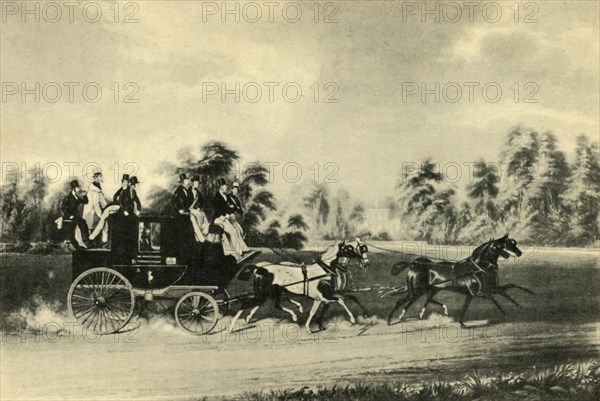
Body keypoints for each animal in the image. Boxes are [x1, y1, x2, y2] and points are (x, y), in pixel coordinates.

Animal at [230, 238, 370, 332]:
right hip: (264, 293)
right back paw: (232, 327)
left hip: (267, 293)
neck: (324, 270)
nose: (365, 263)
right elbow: (340, 301)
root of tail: (259, 268)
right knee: (247, 303)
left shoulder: (323, 297)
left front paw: (310, 327)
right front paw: (352, 319)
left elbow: (316, 310)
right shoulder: (324, 296)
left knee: (272, 304)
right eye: (349, 248)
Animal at [386, 234, 532, 324]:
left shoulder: (483, 290)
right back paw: (390, 320)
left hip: (430, 290)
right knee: (401, 301)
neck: (477, 267)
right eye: (496, 247)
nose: (518, 253)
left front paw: (525, 297)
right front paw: (505, 312)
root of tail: (414, 265)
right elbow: (493, 297)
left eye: (509, 244)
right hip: (416, 291)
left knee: (426, 299)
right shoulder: (479, 292)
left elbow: (509, 287)